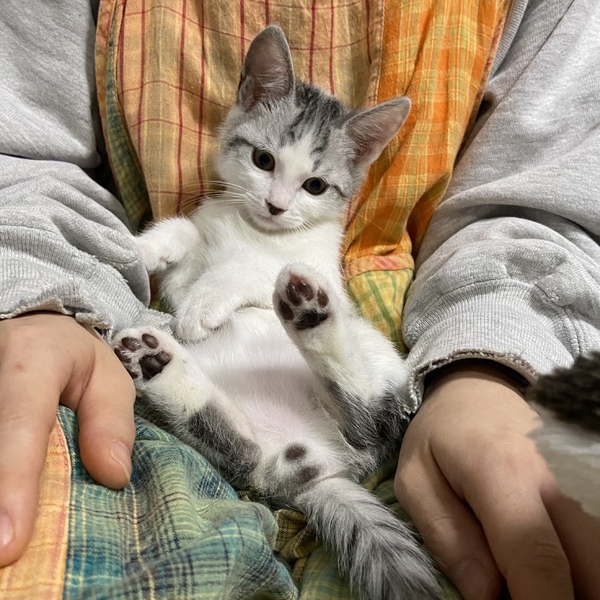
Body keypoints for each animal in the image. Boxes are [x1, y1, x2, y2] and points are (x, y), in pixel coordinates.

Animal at [112, 25, 442, 600]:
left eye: (315, 185)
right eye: (263, 160)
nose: (277, 205)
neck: (253, 231)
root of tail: (317, 468)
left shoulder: (310, 264)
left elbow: (250, 270)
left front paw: (205, 303)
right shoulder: (187, 265)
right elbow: (185, 234)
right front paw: (145, 245)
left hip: (383, 381)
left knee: (368, 420)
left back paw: (307, 313)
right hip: (253, 451)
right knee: (242, 453)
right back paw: (156, 365)